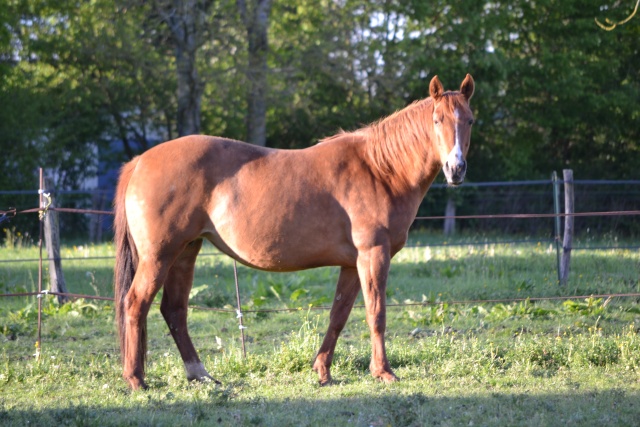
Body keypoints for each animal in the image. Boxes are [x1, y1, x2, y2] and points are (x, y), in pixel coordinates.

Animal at [114, 74, 476, 392]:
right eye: (437, 120)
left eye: (470, 121)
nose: (456, 169)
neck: (379, 169)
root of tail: (140, 161)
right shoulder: (373, 255)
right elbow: (376, 314)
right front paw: (383, 372)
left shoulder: (351, 264)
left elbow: (338, 316)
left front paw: (323, 371)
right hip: (159, 255)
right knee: (135, 304)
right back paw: (135, 379)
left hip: (186, 251)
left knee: (174, 311)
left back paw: (200, 375)